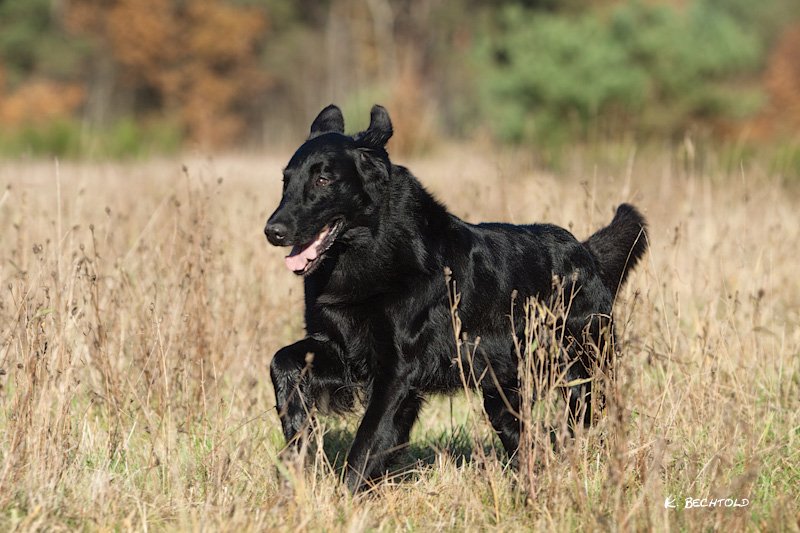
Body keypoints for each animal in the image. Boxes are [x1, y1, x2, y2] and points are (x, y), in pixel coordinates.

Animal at [264, 104, 647, 492]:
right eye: (285, 181)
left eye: (323, 180)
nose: (272, 231)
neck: (364, 252)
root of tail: (585, 253)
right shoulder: (341, 348)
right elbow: (281, 362)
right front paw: (298, 437)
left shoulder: (397, 372)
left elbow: (368, 442)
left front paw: (343, 498)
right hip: (502, 395)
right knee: (526, 438)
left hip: (582, 370)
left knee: (585, 419)